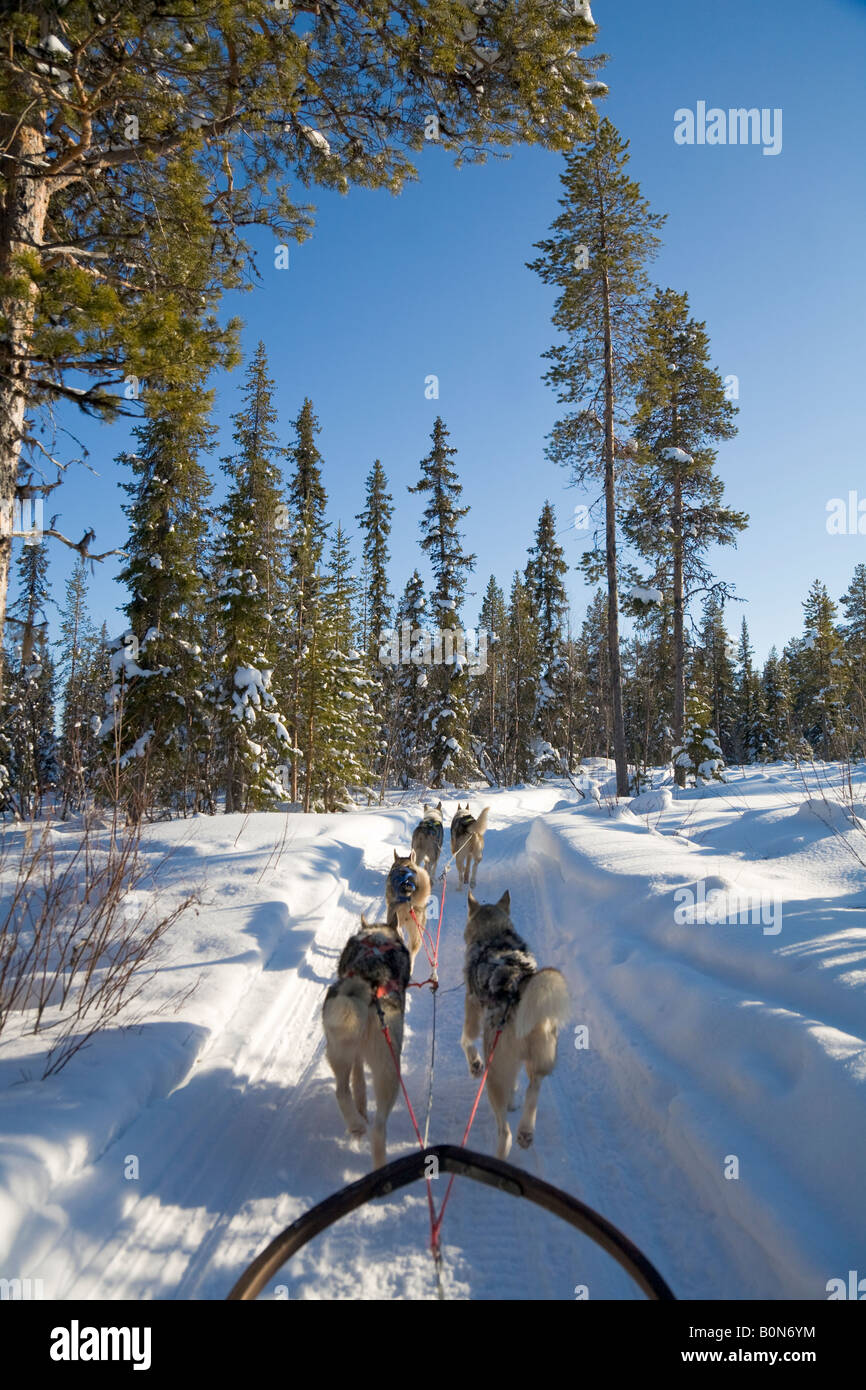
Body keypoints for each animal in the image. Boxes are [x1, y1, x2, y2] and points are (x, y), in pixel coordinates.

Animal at [322, 917, 414, 1167]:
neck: (376, 937)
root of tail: (365, 986)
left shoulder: (355, 1055)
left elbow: (358, 1082)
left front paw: (361, 1109)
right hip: (389, 1069)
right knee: (380, 1126)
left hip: (339, 1052)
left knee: (342, 1091)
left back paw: (357, 1126)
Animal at [461, 889, 569, 1162]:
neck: (494, 936)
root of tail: (517, 984)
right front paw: (513, 1101)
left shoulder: (472, 1008)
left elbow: (466, 1041)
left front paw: (474, 1065)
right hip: (539, 1057)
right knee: (534, 1088)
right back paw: (526, 1130)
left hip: (494, 1073)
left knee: (504, 1131)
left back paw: (502, 1150)